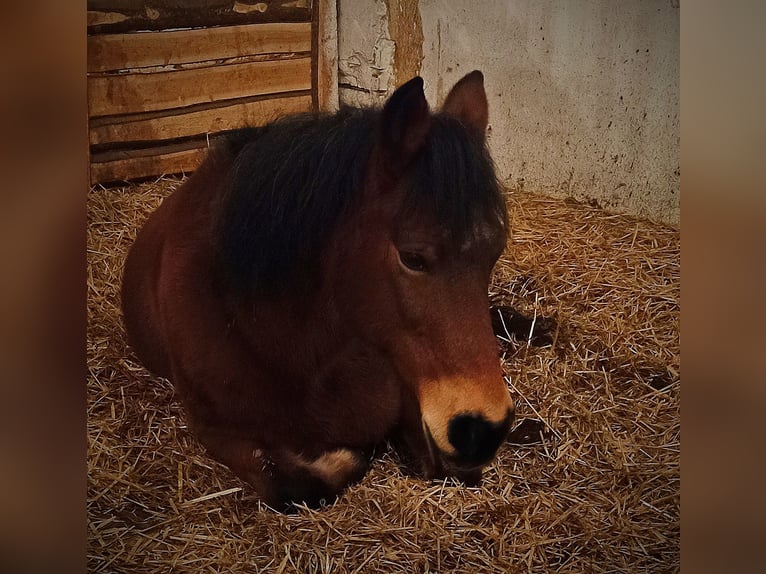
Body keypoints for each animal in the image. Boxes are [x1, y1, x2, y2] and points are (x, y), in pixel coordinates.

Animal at [120, 72, 516, 512]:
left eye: (494, 251)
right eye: (412, 257)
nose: (484, 431)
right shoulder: (216, 430)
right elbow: (293, 481)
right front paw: (343, 457)